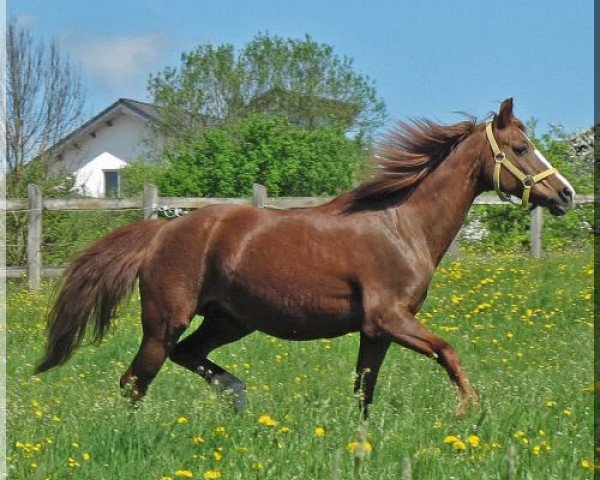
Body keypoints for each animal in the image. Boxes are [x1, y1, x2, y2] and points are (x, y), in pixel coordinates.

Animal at [35, 98, 576, 416]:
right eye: (521, 147)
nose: (566, 195)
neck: (402, 226)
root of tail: (162, 231)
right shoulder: (390, 318)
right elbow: (448, 351)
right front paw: (469, 409)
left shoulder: (376, 331)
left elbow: (364, 390)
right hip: (165, 322)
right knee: (135, 379)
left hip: (230, 320)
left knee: (188, 357)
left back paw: (238, 397)